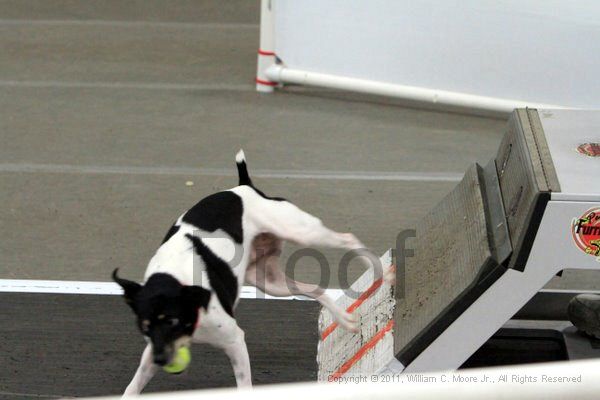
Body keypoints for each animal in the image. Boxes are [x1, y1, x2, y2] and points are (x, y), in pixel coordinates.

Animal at [112, 152, 394, 396]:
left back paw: (381, 272)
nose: (162, 361)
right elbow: (131, 389)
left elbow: (244, 385)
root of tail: (244, 188)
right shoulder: (151, 351)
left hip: (302, 233)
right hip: (270, 282)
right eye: (144, 325)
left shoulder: (235, 340)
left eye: (171, 320)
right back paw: (345, 319)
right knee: (316, 288)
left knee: (347, 238)